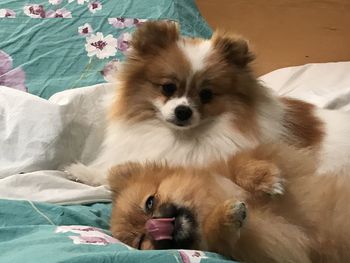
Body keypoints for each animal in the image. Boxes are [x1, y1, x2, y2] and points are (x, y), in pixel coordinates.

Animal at [108, 144, 350, 263]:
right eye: (141, 241)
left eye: (149, 203)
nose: (152, 226)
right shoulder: (269, 245)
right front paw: (225, 217)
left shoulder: (289, 166)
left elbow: (239, 162)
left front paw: (264, 178)